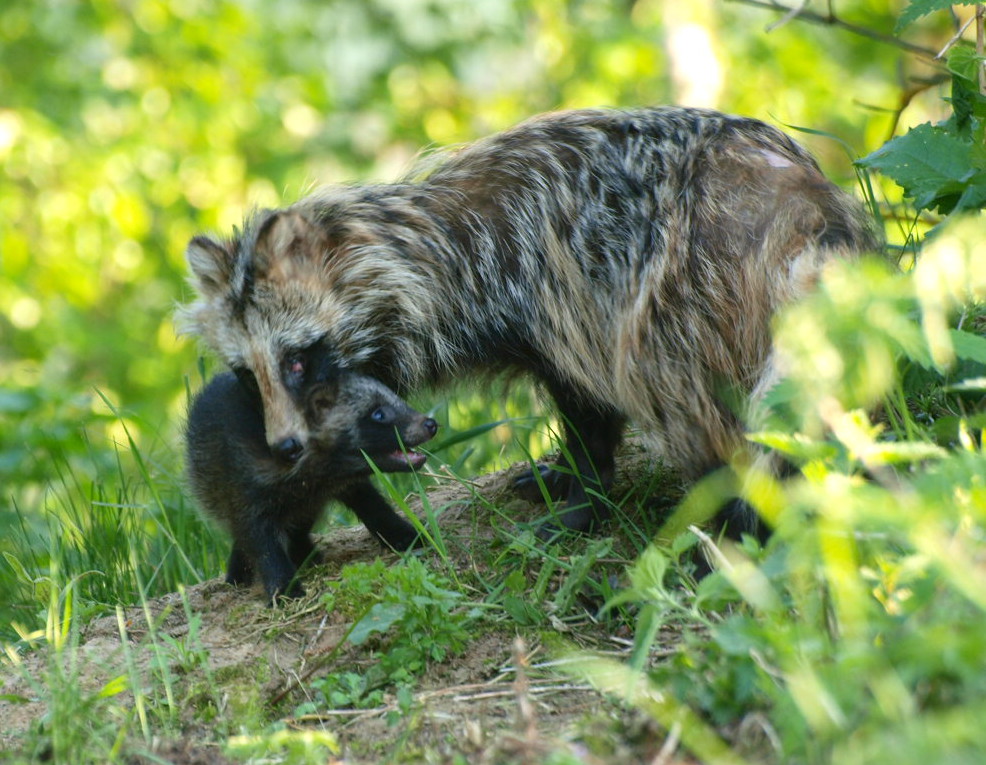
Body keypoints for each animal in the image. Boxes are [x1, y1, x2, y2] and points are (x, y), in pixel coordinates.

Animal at [177, 106, 879, 541]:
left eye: (298, 360)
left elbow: (591, 402)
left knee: (678, 391)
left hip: (686, 283)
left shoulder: (559, 288)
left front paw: (587, 495)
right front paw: (568, 474)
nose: (284, 447)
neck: (428, 247)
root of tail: (803, 200)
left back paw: (733, 512)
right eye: (247, 374)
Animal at [185, 370, 438, 602]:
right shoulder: (246, 483)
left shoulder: (341, 481)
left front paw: (401, 532)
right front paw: (283, 586)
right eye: (379, 413)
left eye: (398, 400)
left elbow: (371, 503)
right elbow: (260, 540)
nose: (431, 423)